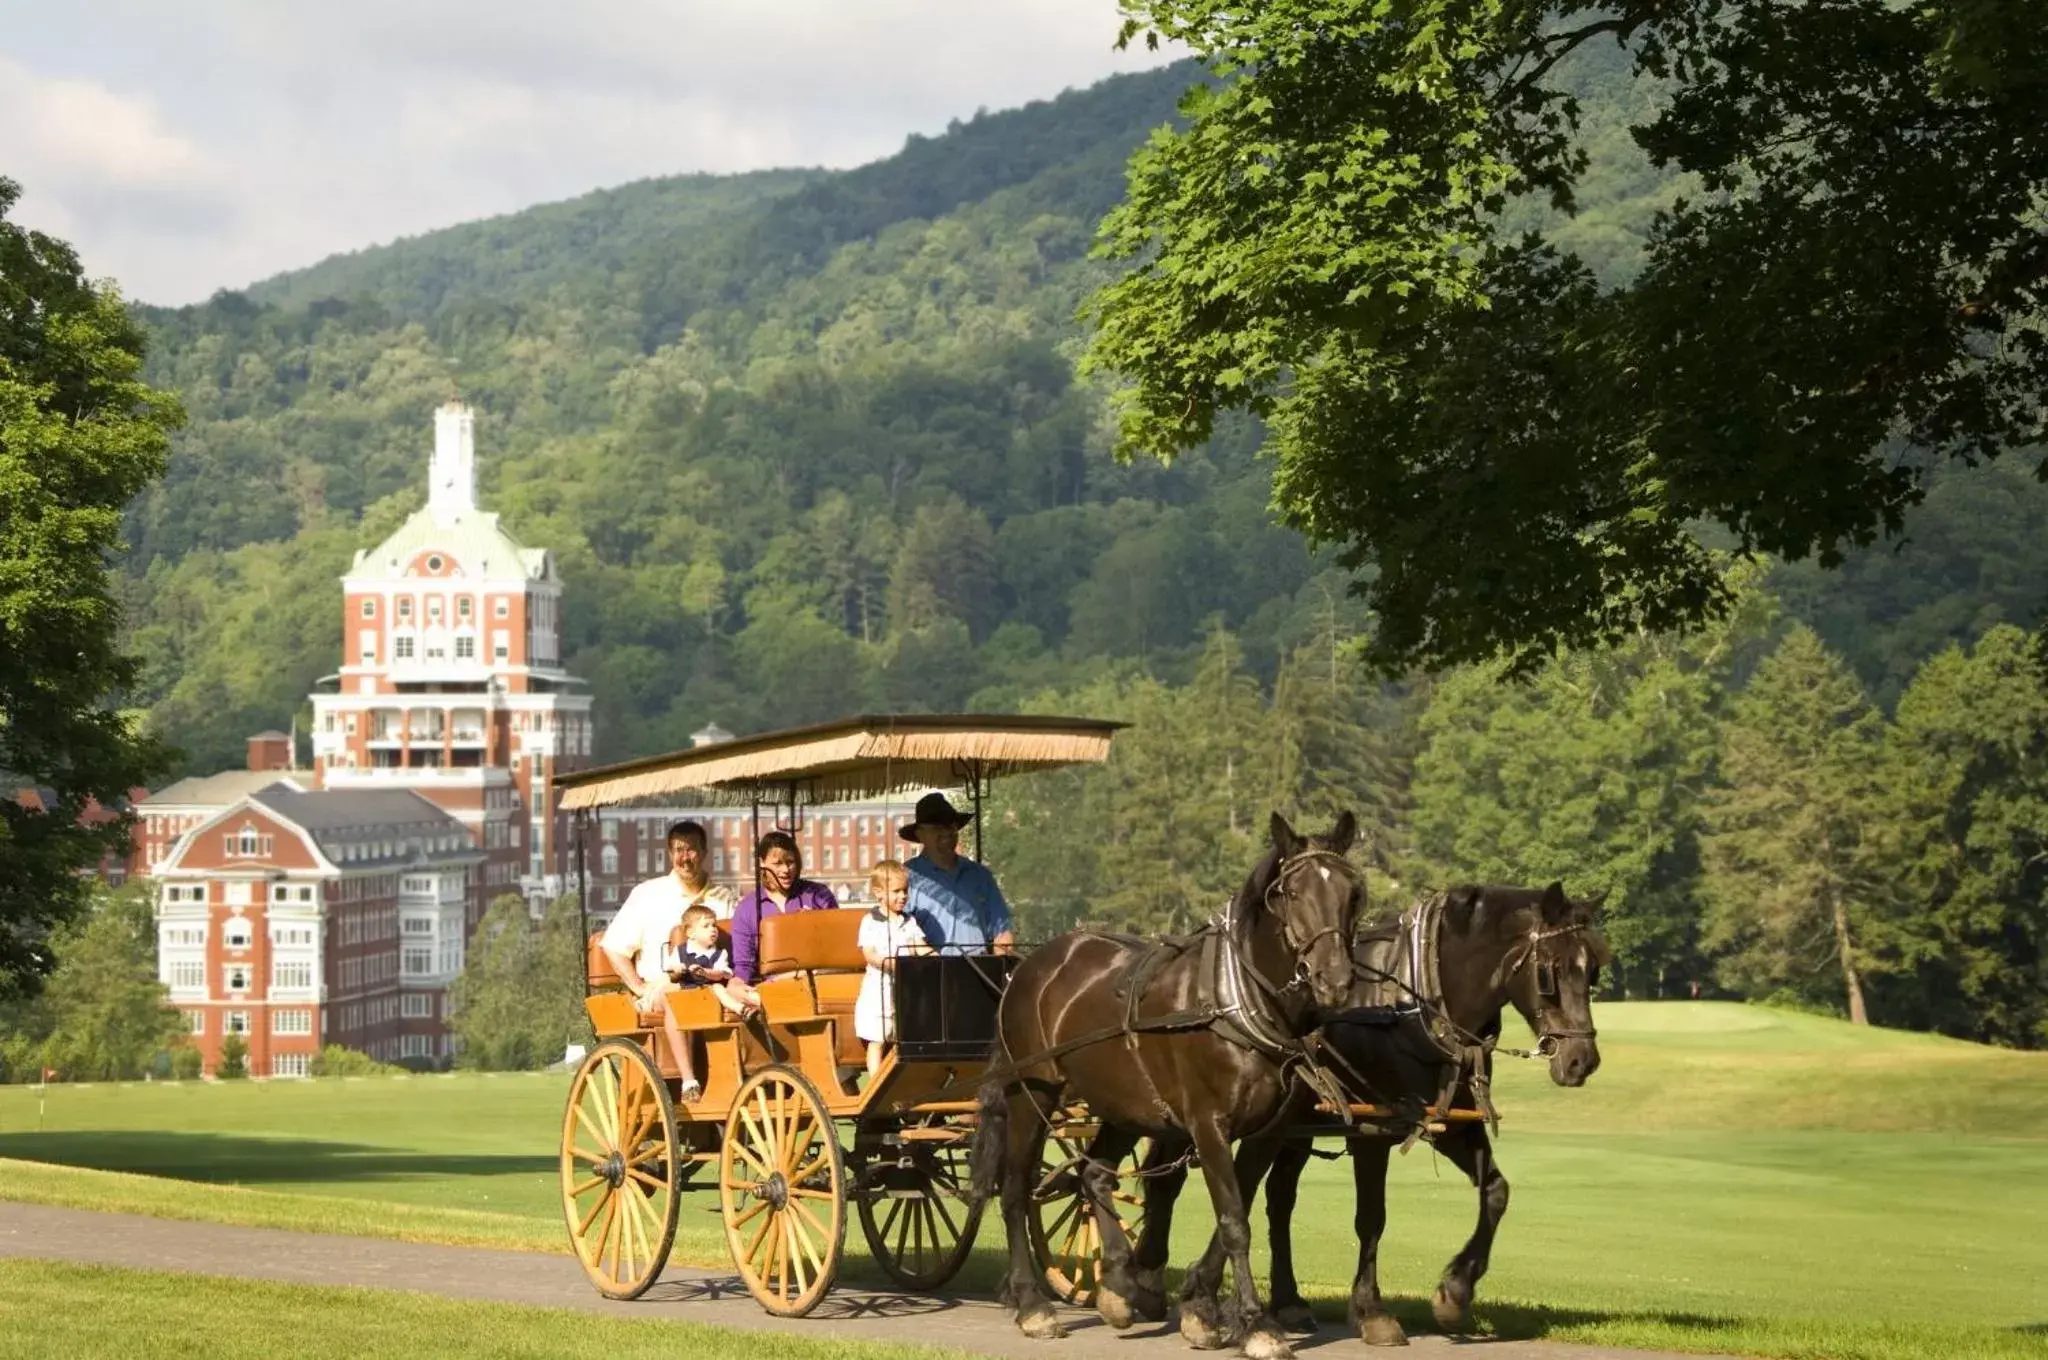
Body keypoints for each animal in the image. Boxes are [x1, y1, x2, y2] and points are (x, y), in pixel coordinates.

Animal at [970, 811, 1359, 1351]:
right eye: (1292, 893)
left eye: (1352, 892)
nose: (1334, 979)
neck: (1238, 1001)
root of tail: (1030, 968)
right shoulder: (1208, 1123)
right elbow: (1234, 1221)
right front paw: (1256, 1324)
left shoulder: (1267, 1132)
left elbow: (1235, 1210)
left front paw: (1200, 1305)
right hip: (1033, 1093)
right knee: (1014, 1189)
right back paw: (1033, 1305)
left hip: (1121, 1101)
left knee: (1095, 1174)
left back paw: (1117, 1285)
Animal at [1163, 880, 1605, 1351]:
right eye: (1550, 971)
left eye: (1593, 970)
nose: (1582, 1060)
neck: (1414, 1006)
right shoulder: (1372, 1132)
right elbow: (1371, 1219)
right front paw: (1372, 1311)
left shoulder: (1450, 1127)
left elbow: (1496, 1192)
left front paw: (1455, 1292)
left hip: (1291, 1128)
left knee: (1276, 1197)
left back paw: (1287, 1302)